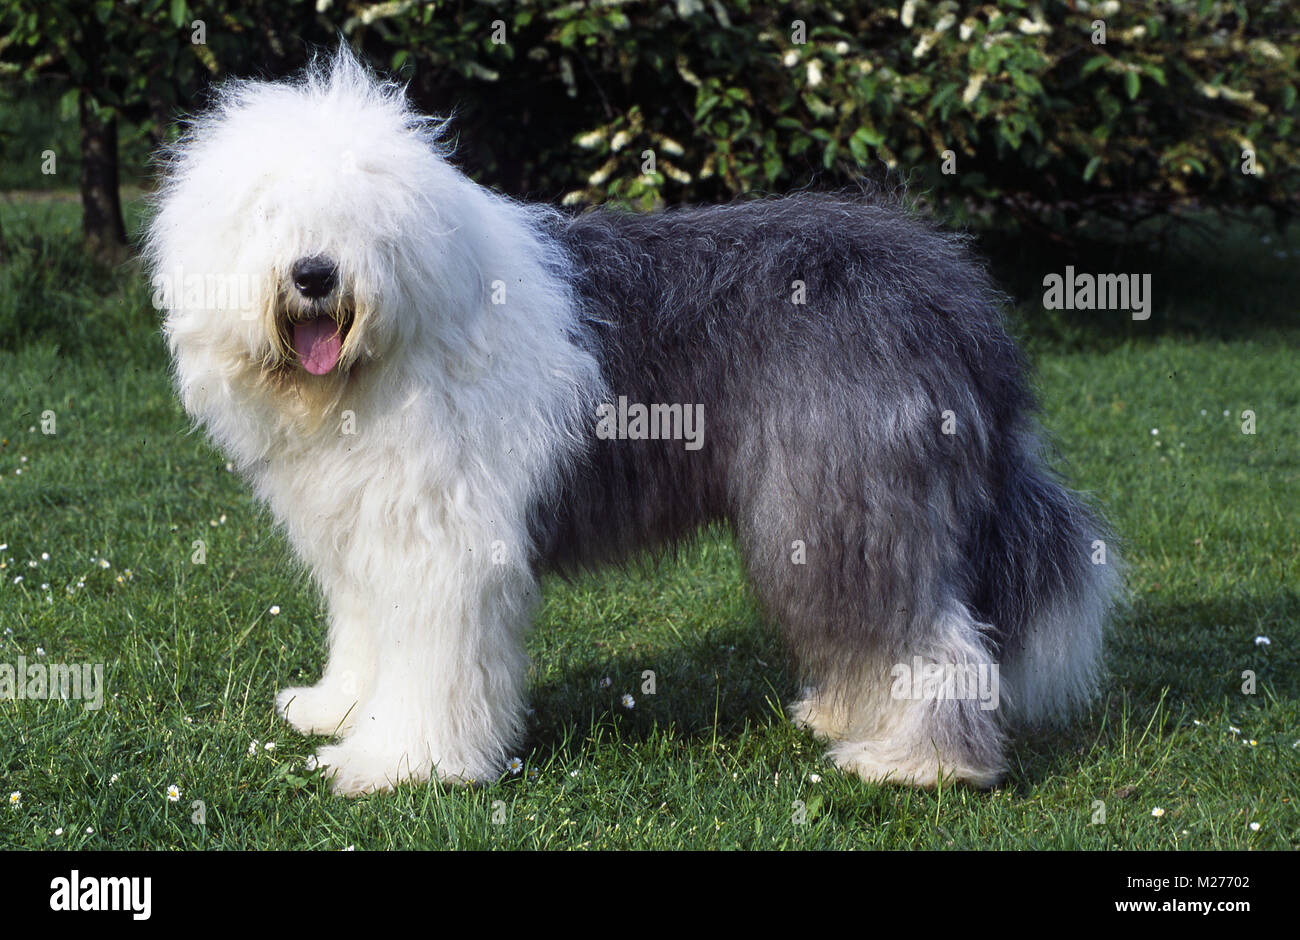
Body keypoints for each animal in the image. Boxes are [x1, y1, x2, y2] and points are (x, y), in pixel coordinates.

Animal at [142, 49, 1118, 795]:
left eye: (363, 209)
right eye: (267, 207)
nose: (314, 274)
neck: (385, 354)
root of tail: (949, 289)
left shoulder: (444, 545)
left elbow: (427, 659)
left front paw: (397, 763)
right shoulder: (366, 533)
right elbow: (365, 632)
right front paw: (337, 709)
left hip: (839, 495)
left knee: (924, 631)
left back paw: (919, 764)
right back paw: (848, 712)